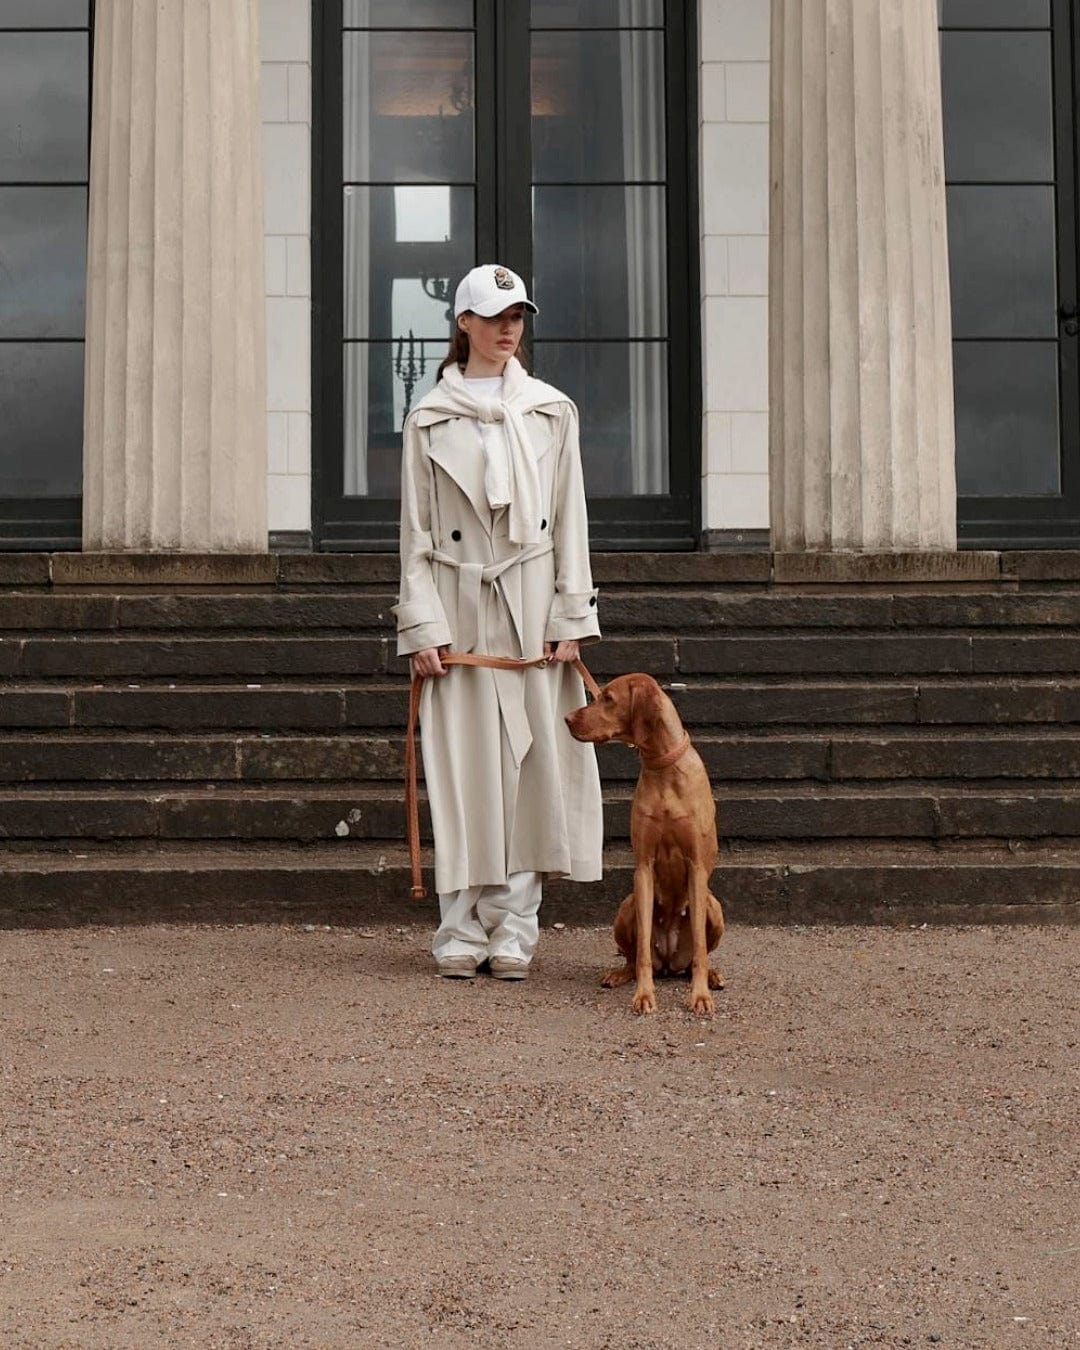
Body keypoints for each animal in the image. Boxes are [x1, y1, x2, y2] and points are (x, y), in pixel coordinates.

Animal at [565, 673, 724, 1015]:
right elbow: (641, 954)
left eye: (608, 698)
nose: (567, 718)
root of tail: (670, 962)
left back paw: (713, 976)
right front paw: (644, 994)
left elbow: (701, 949)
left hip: (713, 905)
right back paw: (619, 974)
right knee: (633, 955)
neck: (664, 770)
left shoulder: (696, 866)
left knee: (697, 956)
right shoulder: (644, 867)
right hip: (627, 905)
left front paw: (700, 995)